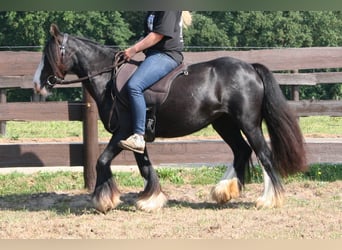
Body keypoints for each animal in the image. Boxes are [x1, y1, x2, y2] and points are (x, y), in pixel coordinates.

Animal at [33, 24, 306, 213]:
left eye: (49, 54)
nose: (37, 84)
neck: (110, 78)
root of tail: (250, 68)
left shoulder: (123, 131)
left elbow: (101, 161)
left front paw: (104, 200)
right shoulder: (135, 137)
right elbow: (144, 166)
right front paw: (150, 199)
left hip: (248, 123)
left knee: (263, 154)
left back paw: (269, 199)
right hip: (224, 123)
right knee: (241, 151)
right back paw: (223, 191)